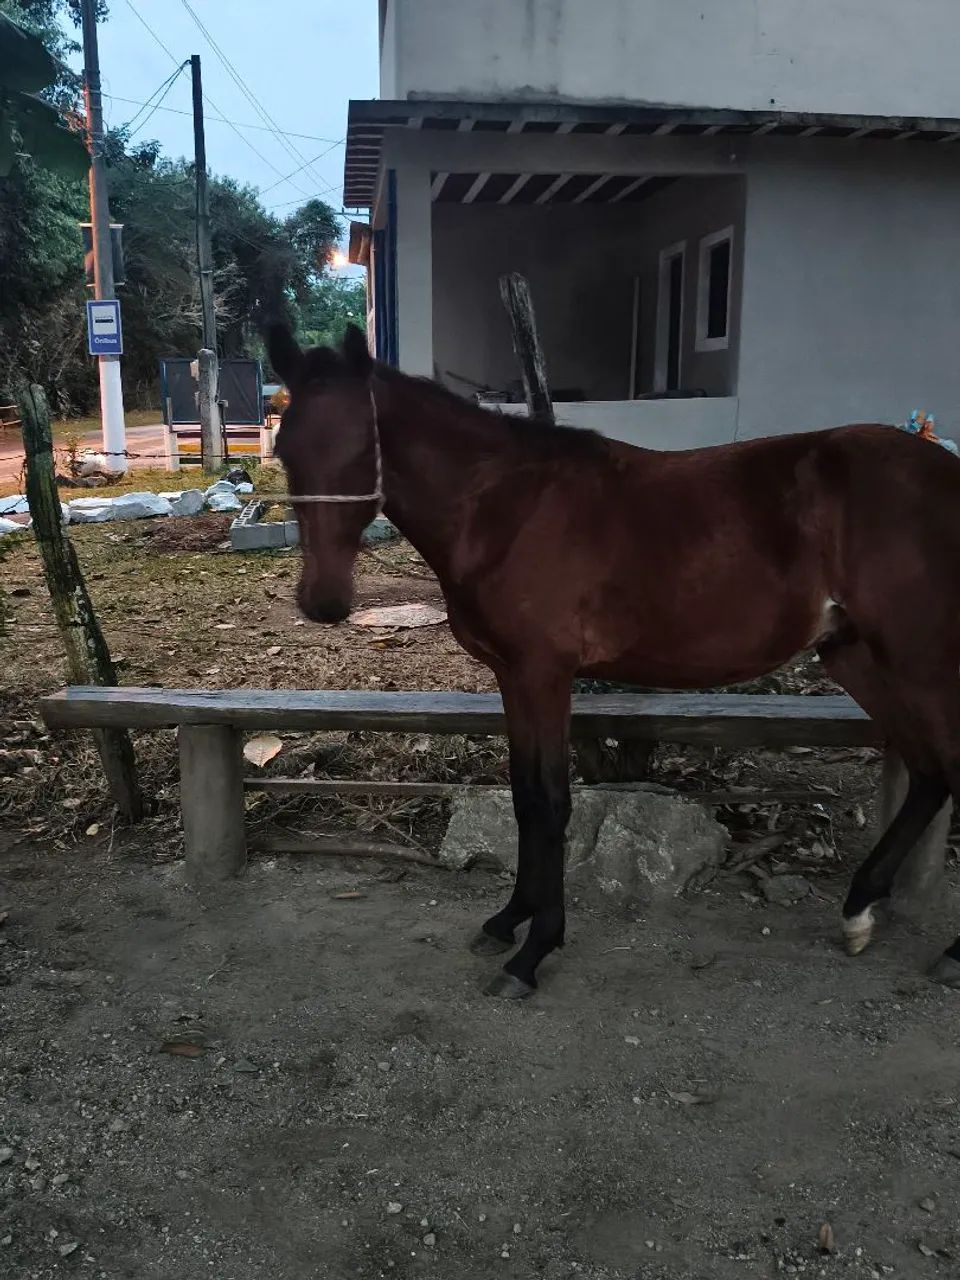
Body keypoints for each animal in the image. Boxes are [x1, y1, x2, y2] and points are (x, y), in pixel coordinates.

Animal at [266, 321, 960, 1000]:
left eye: (363, 447)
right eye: (286, 452)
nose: (323, 601)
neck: (507, 509)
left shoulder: (544, 674)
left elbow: (551, 803)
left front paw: (534, 951)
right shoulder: (513, 677)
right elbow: (525, 797)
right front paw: (508, 921)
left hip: (920, 659)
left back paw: (946, 952)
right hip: (859, 658)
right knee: (931, 775)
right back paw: (860, 910)